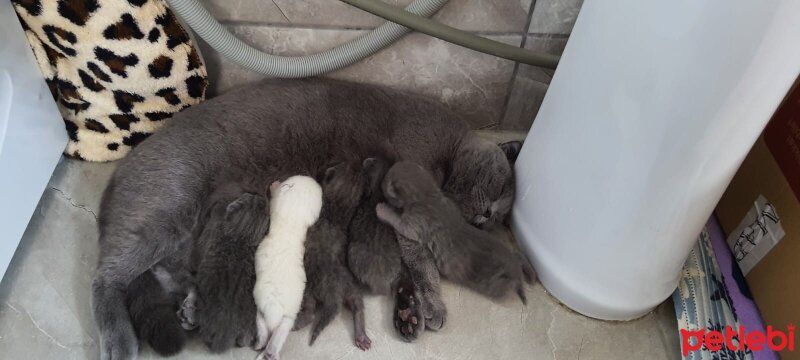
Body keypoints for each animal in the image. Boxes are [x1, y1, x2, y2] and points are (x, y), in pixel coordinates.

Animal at [253, 177, 322, 360]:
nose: (315, 180)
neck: (290, 223)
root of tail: (274, 311)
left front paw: (274, 186)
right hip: (284, 316)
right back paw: (267, 349)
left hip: (270, 313)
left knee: (267, 331)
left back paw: (264, 347)